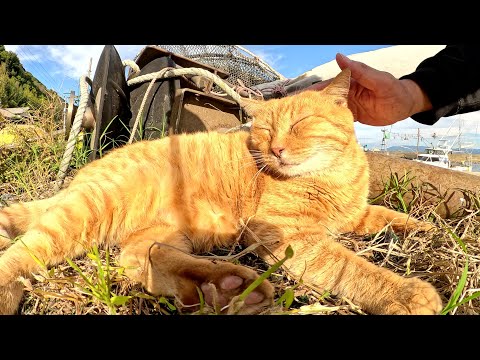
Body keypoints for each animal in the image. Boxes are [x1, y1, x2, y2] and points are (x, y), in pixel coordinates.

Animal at [0, 69, 442, 314]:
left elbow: (389, 217)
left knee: (138, 262)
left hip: (165, 234)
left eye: (299, 124)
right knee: (25, 250)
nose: (276, 149)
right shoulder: (292, 235)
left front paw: (426, 229)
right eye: (264, 131)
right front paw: (405, 293)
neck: (334, 176)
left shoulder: (357, 213)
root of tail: (82, 176)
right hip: (89, 209)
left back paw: (223, 288)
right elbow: (351, 267)